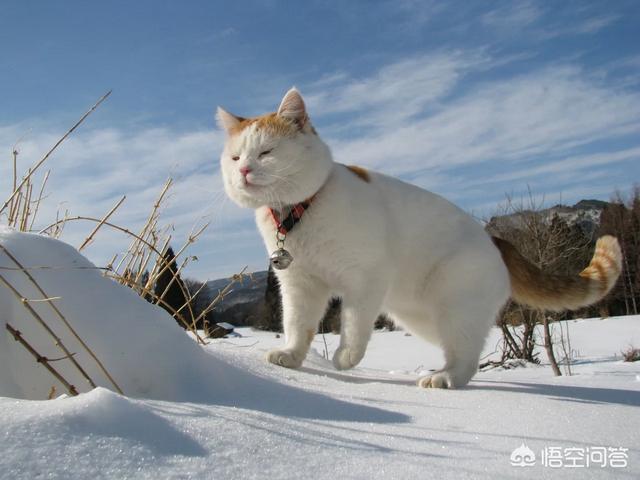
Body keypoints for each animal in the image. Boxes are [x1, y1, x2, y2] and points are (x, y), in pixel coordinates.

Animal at [218, 88, 624, 390]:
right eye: (235, 157)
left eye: (266, 153)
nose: (243, 171)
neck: (297, 212)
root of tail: (495, 239)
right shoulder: (299, 284)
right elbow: (297, 325)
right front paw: (291, 357)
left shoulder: (365, 279)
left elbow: (353, 323)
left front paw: (346, 358)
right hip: (423, 318)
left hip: (454, 306)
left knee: (467, 355)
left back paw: (443, 379)